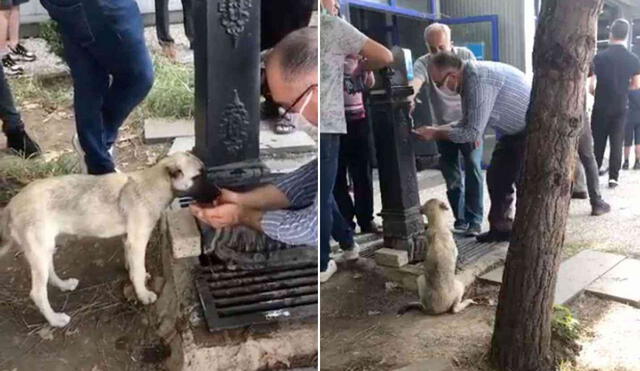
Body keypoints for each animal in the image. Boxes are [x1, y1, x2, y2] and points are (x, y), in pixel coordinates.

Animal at [0, 153, 205, 326]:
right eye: (199, 176)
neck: (154, 182)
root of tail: (10, 205)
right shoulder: (138, 241)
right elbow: (138, 270)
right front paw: (143, 294)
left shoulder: (128, 239)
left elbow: (134, 266)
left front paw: (135, 276)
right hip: (40, 252)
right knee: (37, 293)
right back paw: (55, 320)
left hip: (45, 249)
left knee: (50, 273)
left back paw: (64, 285)